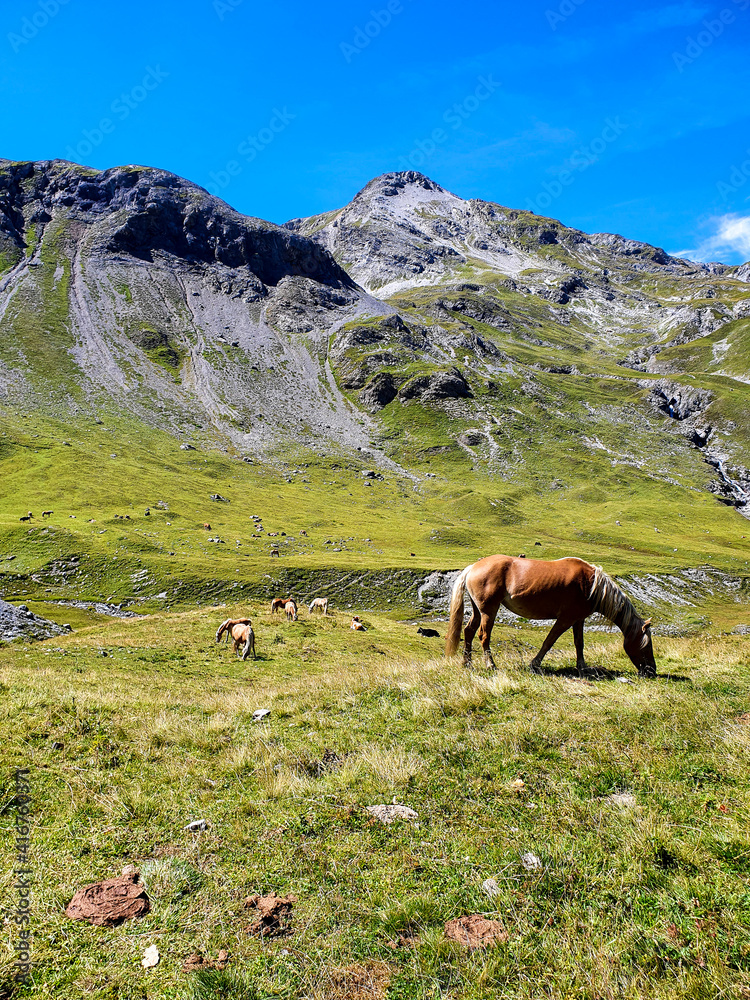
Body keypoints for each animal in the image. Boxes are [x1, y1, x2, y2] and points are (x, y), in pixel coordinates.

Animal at [446, 556, 656, 680]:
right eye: (646, 645)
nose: (652, 671)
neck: (591, 585)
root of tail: (473, 566)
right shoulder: (565, 619)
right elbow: (549, 641)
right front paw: (534, 664)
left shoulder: (578, 620)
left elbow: (579, 644)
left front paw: (582, 668)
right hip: (489, 611)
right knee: (484, 635)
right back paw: (490, 665)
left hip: (478, 610)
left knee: (469, 631)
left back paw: (467, 663)